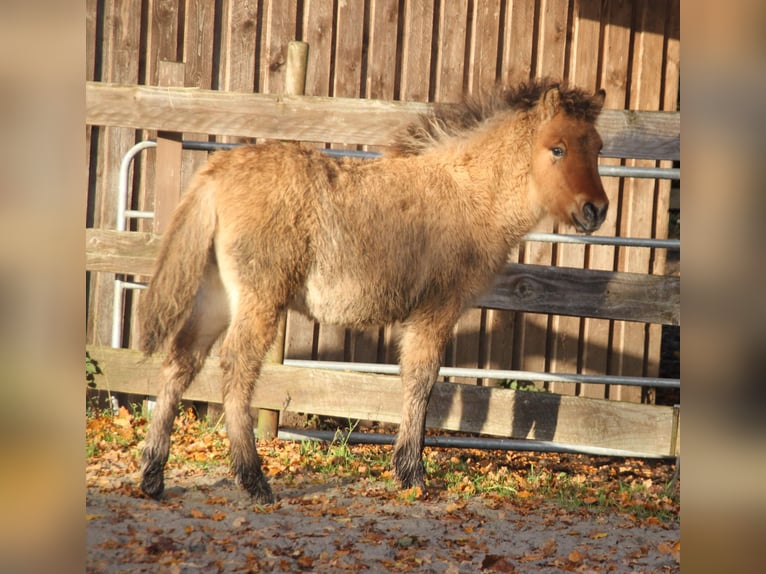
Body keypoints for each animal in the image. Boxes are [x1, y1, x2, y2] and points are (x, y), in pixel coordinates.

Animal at [138, 79, 609, 503]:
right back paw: (254, 480)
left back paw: (153, 475)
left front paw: (406, 468)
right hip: (259, 298)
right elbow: (421, 380)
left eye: (599, 148)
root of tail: (216, 172)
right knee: (236, 366)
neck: (468, 193)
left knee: (181, 359)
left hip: (217, 295)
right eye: (557, 148)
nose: (596, 210)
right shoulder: (438, 307)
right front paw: (412, 474)